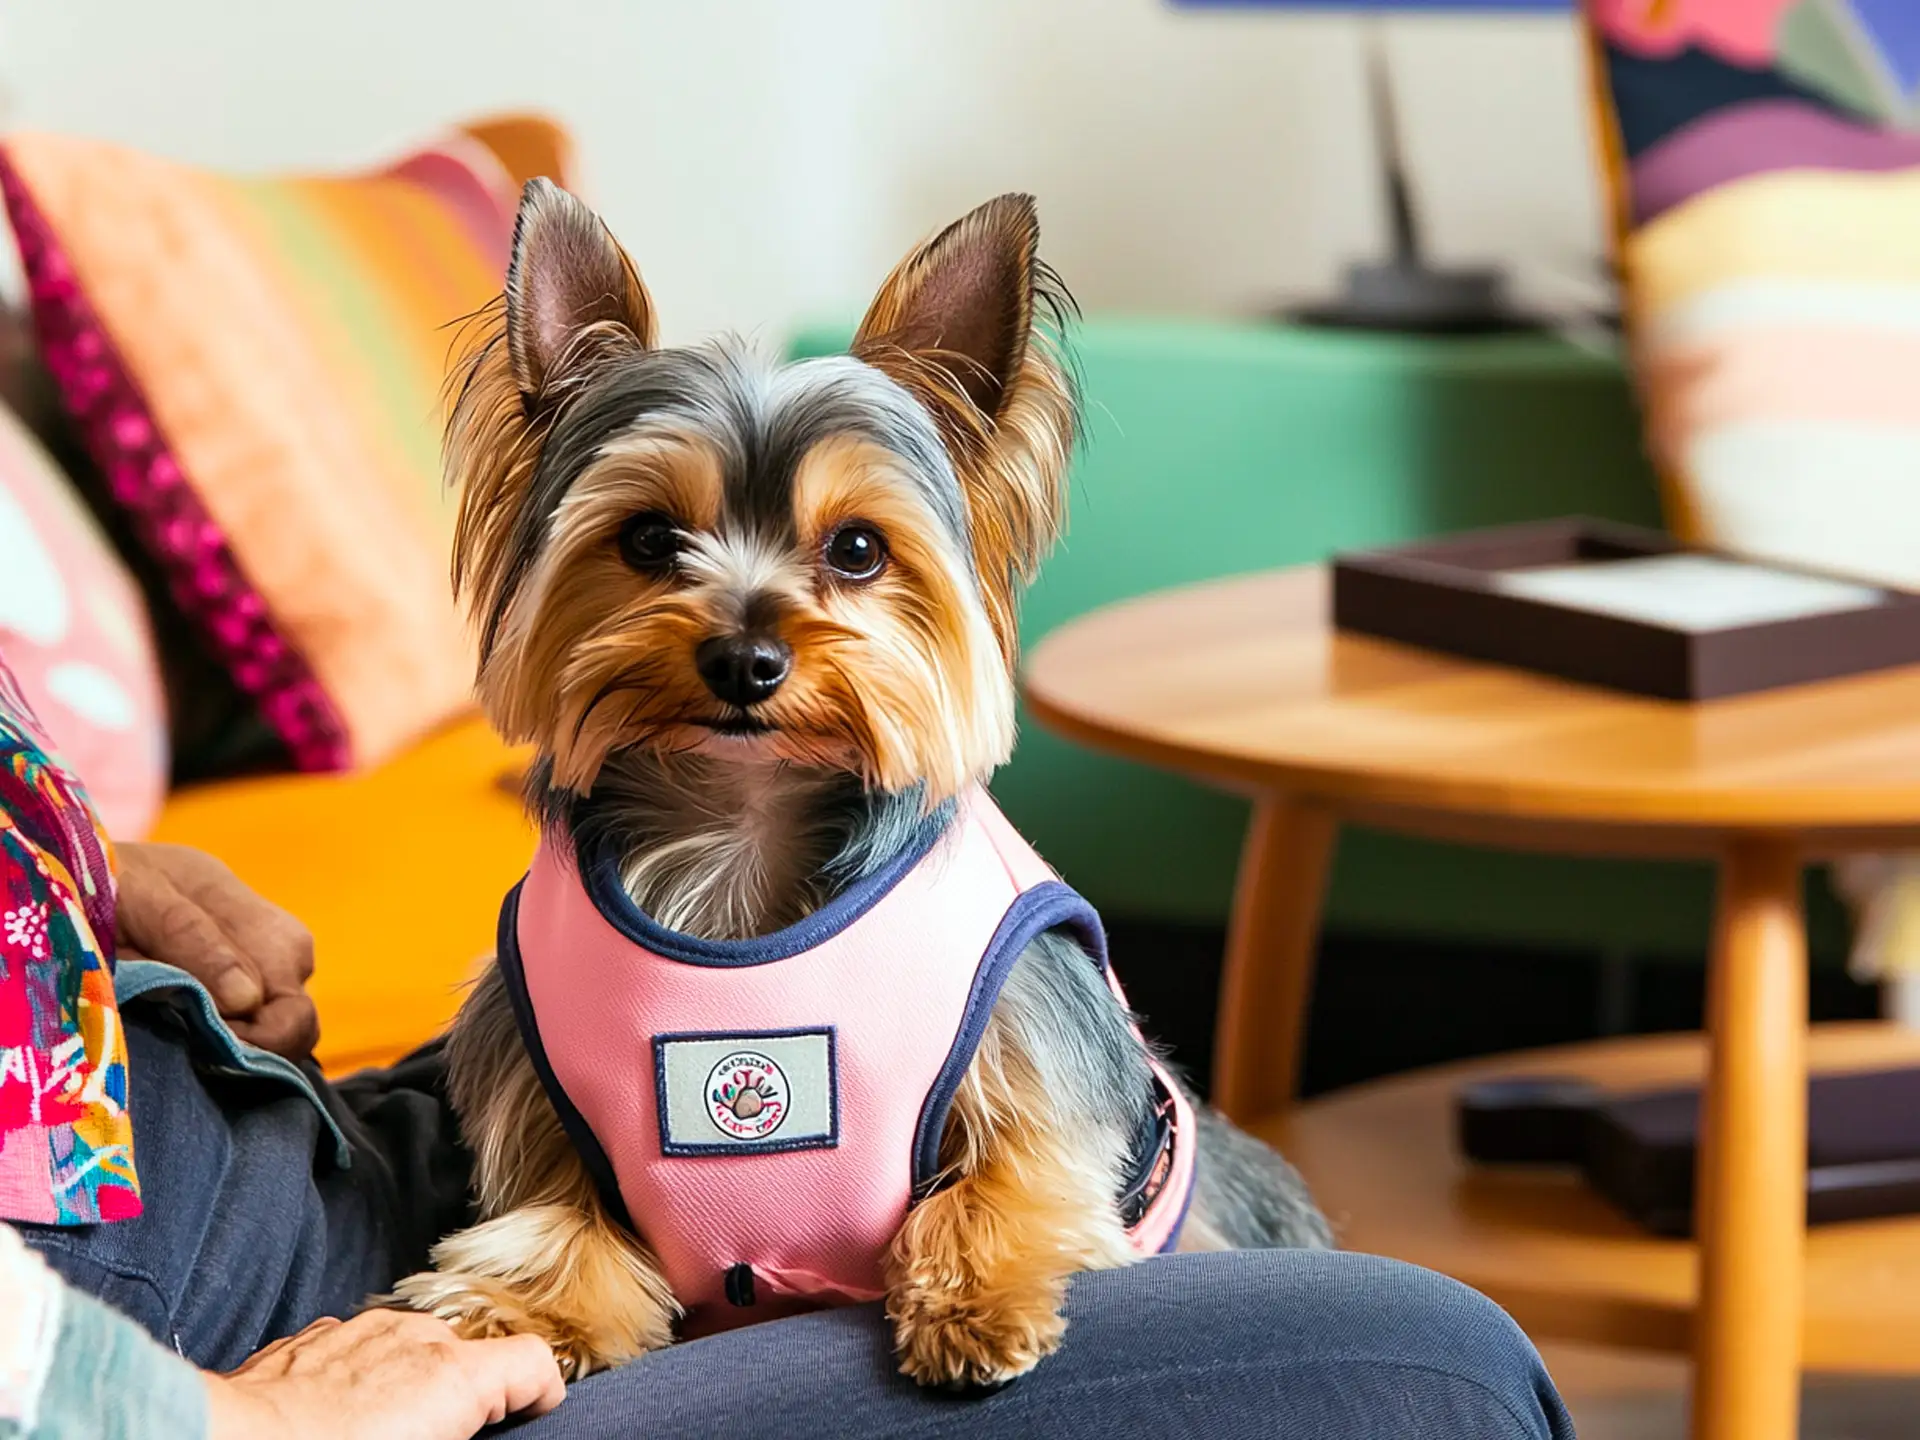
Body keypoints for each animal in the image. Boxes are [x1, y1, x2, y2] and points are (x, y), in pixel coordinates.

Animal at [382, 177, 1328, 1390]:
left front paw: (973, 1305)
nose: (745, 661)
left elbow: (1013, 1176)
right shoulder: (540, 1086)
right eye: (649, 538)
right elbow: (554, 1223)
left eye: (860, 549)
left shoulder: (1043, 1044)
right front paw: (518, 1314)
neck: (743, 825)